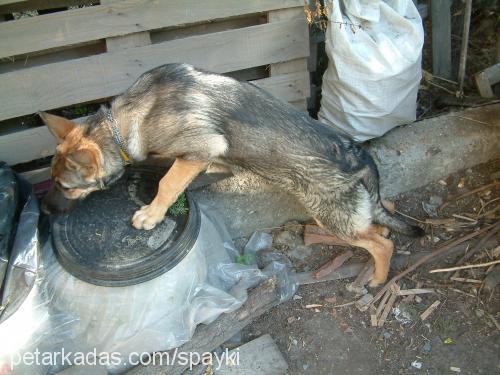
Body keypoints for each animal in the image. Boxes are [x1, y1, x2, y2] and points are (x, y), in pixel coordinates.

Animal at [41, 65, 422, 288]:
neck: (126, 121)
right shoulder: (205, 157)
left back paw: (378, 278)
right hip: (350, 213)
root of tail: (358, 154)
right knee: (382, 219)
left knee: (382, 244)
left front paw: (151, 214)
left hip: (331, 217)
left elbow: (168, 182)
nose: (43, 211)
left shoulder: (203, 147)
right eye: (52, 180)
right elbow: (176, 170)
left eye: (64, 187)